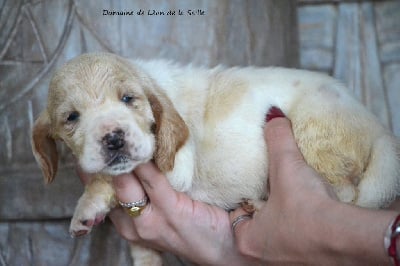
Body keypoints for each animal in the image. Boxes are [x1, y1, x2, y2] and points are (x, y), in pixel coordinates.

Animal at [32, 52, 400, 266]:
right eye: (71, 117)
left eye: (128, 99)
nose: (113, 139)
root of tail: (379, 129)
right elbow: (144, 251)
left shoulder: (174, 167)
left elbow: (105, 178)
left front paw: (85, 207)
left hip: (314, 135)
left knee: (345, 195)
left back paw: (262, 205)